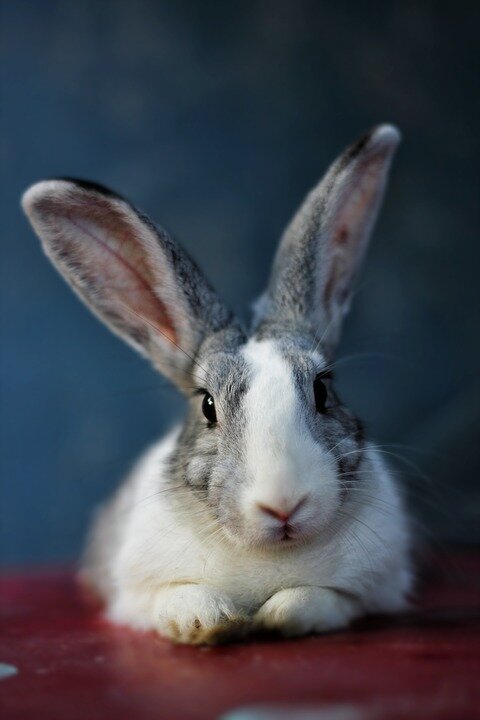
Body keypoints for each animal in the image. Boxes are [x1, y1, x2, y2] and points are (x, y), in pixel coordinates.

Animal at [22, 124, 413, 645]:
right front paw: (210, 621)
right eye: (208, 406)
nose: (283, 505)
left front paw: (277, 614)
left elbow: (319, 599)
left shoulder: (371, 590)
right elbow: (177, 598)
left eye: (323, 390)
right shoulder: (135, 594)